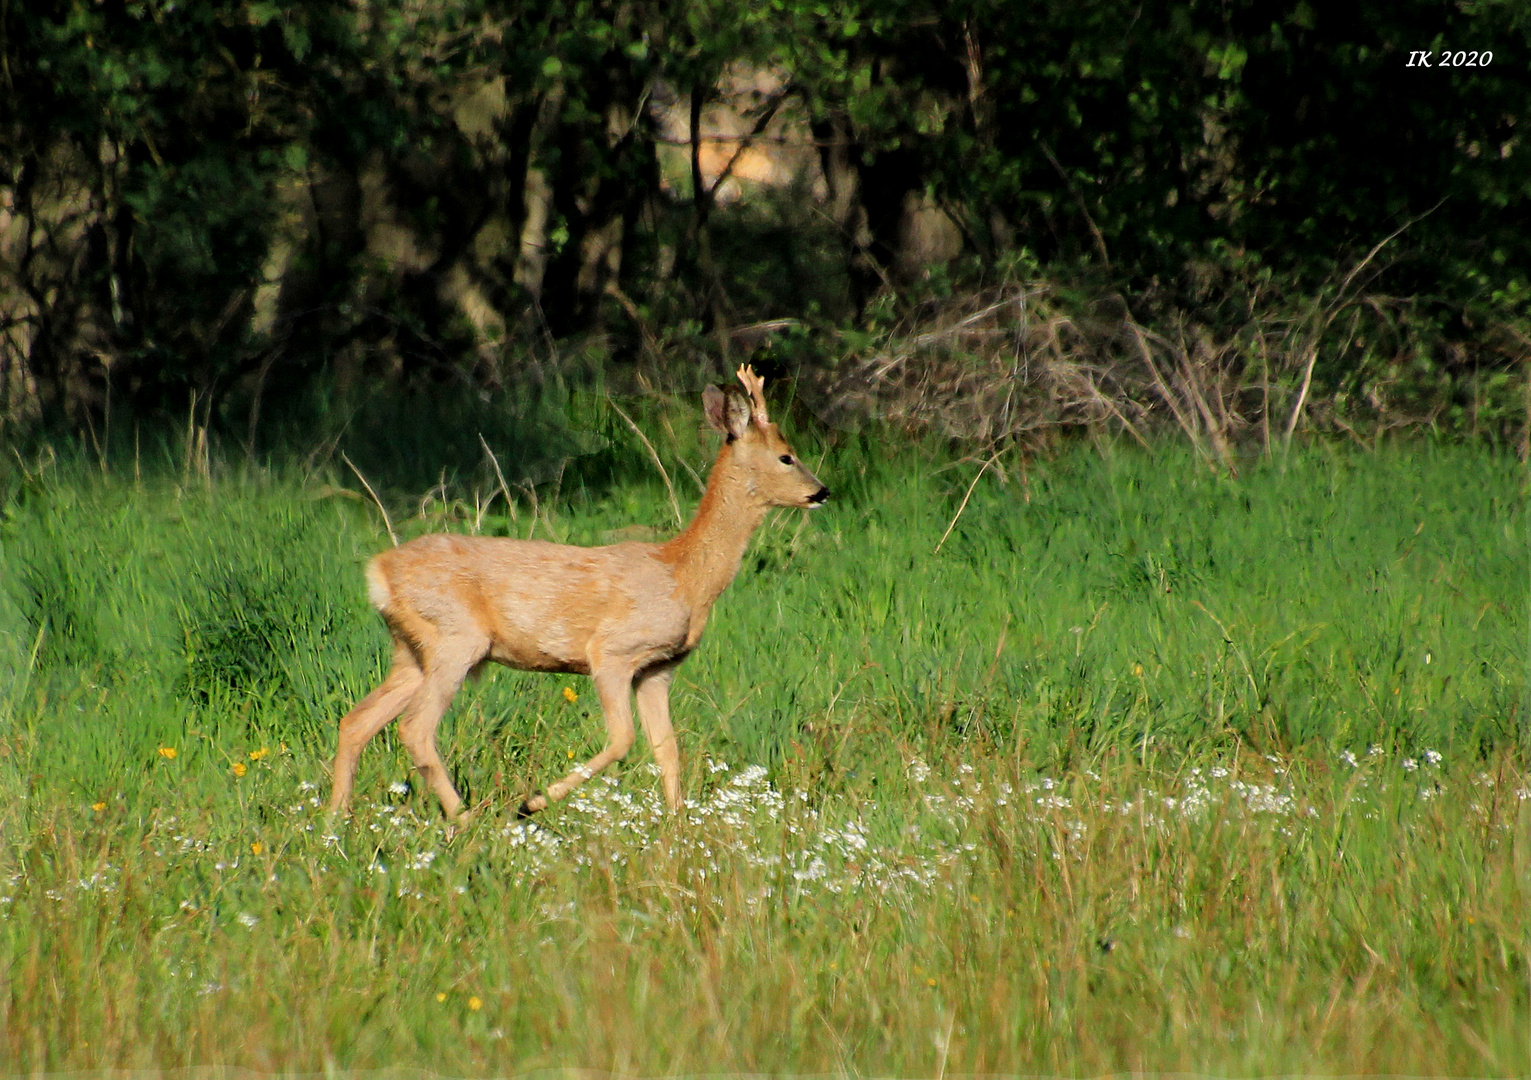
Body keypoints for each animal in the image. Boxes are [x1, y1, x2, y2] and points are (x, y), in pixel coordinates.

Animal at [323, 366, 826, 821]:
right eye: (786, 456)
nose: (821, 491)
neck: (685, 574)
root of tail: (378, 573)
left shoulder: (658, 669)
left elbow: (668, 750)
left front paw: (677, 829)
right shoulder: (612, 651)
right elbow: (624, 740)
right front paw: (532, 802)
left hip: (412, 648)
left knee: (357, 720)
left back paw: (335, 820)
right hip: (455, 637)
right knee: (414, 727)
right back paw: (464, 819)